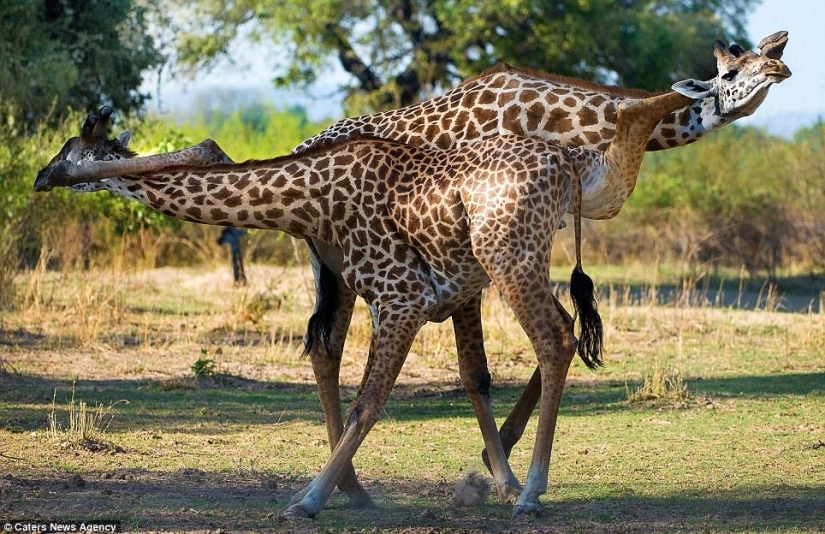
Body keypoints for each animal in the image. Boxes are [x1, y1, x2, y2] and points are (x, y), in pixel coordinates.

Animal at [34, 34, 792, 509]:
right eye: (732, 68)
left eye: (759, 59)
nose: (778, 73)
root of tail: (312, 137)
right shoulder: (469, 262)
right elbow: (478, 371)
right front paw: (492, 474)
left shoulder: (488, 258)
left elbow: (514, 357)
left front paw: (496, 473)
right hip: (342, 263)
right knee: (325, 342)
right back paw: (355, 485)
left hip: (355, 264)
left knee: (325, 339)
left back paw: (358, 485)